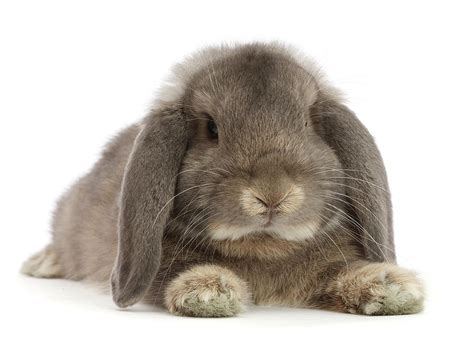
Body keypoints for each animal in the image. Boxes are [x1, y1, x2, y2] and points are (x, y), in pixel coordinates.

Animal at [21, 43, 426, 316]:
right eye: (212, 129)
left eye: (307, 123)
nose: (272, 195)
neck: (264, 246)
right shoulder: (157, 264)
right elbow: (169, 274)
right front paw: (208, 291)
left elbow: (343, 272)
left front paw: (391, 288)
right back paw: (41, 263)